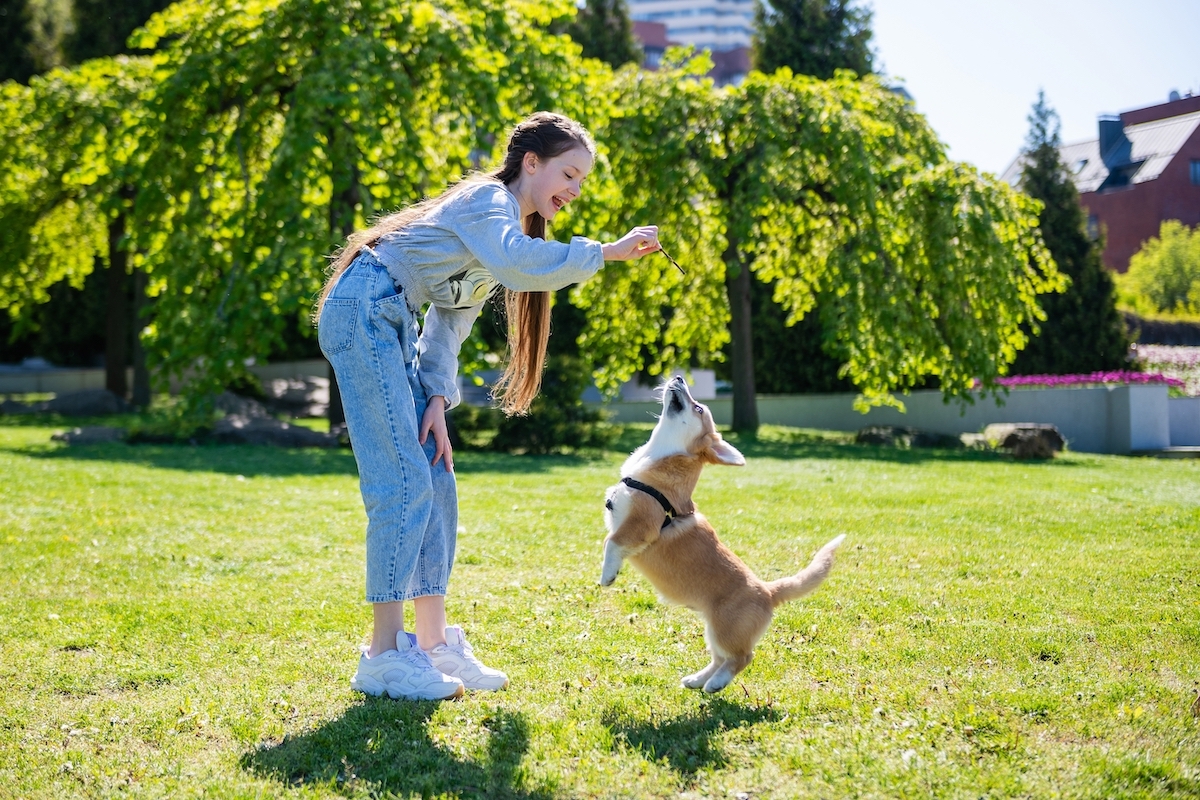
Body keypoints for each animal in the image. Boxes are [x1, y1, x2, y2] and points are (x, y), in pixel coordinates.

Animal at [600, 376, 844, 695]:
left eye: (698, 407)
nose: (679, 377)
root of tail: (769, 592)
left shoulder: (640, 526)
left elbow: (612, 542)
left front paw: (607, 575)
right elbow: (611, 540)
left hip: (725, 628)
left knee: (742, 657)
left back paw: (716, 683)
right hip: (713, 629)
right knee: (720, 658)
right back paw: (698, 680)